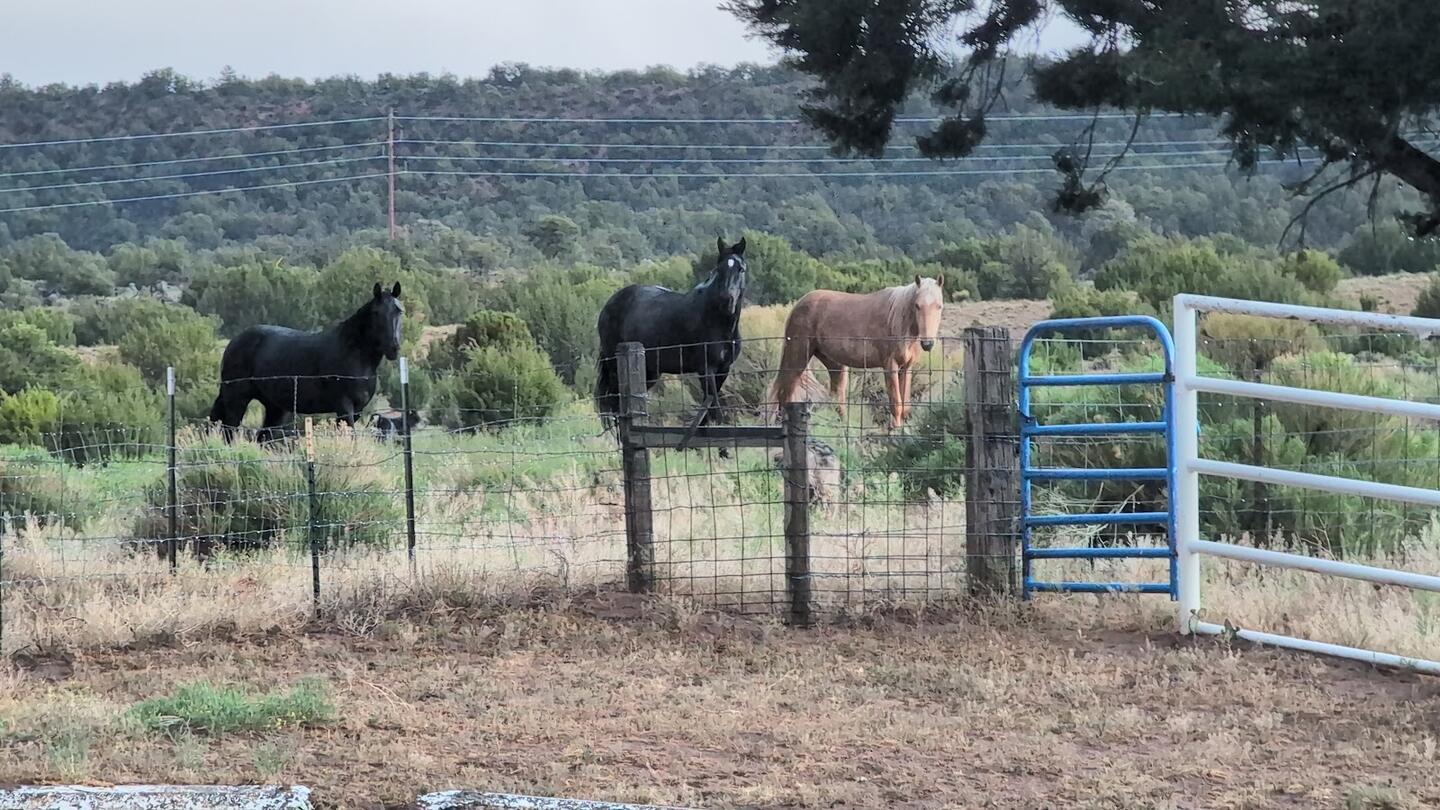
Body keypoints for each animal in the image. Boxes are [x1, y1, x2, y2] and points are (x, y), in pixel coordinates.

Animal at [209, 282, 404, 443]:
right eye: (376, 313)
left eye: (399, 311)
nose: (393, 347)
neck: (354, 353)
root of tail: (234, 342)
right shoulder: (344, 408)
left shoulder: (356, 411)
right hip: (237, 400)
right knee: (229, 434)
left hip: (275, 408)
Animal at [595, 237, 747, 431]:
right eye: (718, 269)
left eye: (741, 269)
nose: (726, 301)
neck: (718, 322)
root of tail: (610, 303)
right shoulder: (707, 369)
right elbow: (714, 411)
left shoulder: (723, 370)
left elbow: (707, 414)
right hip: (614, 367)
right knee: (614, 405)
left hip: (649, 372)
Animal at [766, 275, 945, 429]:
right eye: (917, 305)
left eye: (939, 306)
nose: (927, 343)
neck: (898, 320)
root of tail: (798, 305)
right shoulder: (890, 366)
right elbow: (896, 405)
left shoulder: (906, 368)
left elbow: (905, 407)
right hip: (798, 357)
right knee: (785, 393)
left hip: (834, 364)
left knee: (837, 400)